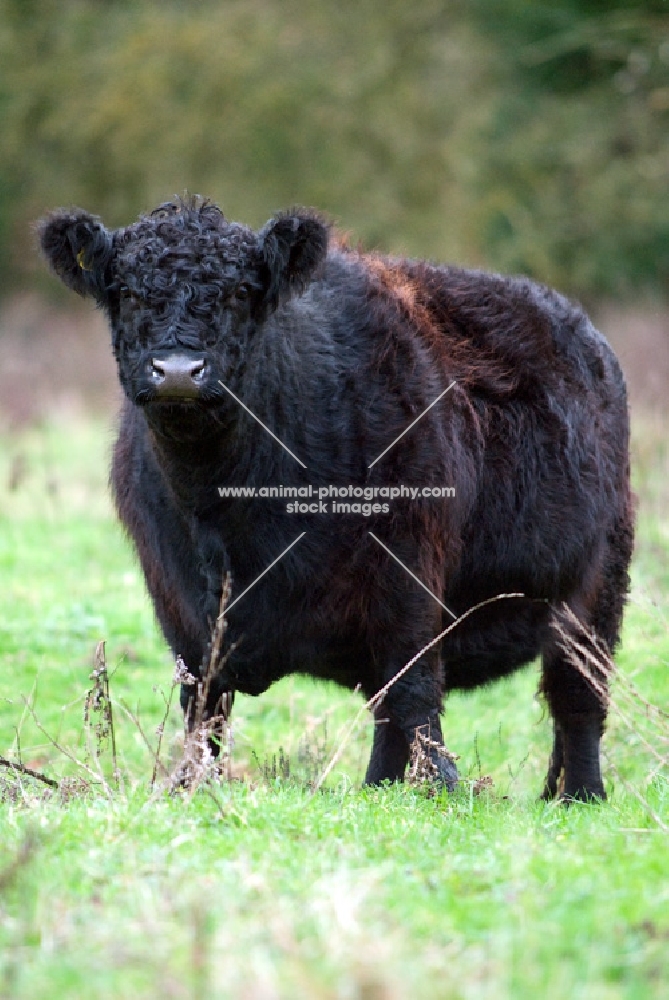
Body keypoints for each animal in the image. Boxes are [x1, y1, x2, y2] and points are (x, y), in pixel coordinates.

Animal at [39, 199, 636, 800]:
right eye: (127, 292)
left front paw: (443, 787)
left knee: (577, 698)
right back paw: (389, 788)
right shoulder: (180, 604)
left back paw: (581, 795)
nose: (179, 372)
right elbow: (202, 709)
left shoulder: (409, 575)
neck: (224, 508)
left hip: (596, 591)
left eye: (239, 292)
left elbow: (415, 692)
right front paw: (191, 785)